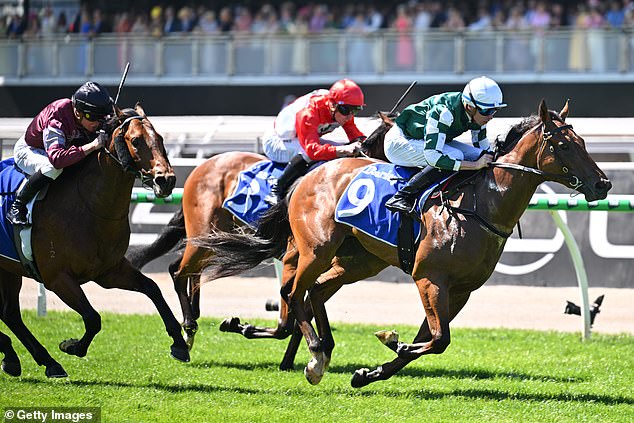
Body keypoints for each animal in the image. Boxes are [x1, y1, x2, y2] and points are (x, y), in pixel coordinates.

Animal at [0, 102, 188, 378]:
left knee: (11, 313)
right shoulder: (57, 277)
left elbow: (152, 288)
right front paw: (71, 346)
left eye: (161, 138)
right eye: (135, 140)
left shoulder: (109, 271)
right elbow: (92, 318)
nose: (166, 179)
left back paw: (33, 360)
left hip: (8, 269)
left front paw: (179, 343)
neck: (89, 206)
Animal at [191, 100, 608, 388]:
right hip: (317, 248)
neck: (478, 206)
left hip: (357, 259)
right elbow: (439, 339)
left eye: (583, 141)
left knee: (315, 292)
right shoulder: (429, 277)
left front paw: (370, 371)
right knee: (293, 292)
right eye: (564, 145)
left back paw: (319, 346)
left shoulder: (461, 290)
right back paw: (314, 358)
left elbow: (432, 339)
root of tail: (312, 173)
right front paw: (392, 342)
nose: (603, 184)